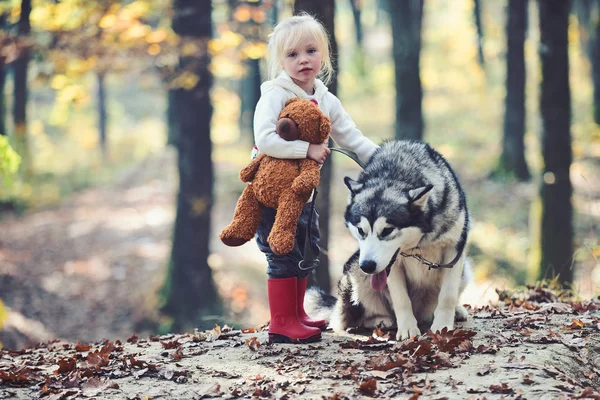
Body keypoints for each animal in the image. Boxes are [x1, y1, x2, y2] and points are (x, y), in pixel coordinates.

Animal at [308, 141, 472, 340]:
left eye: (387, 230)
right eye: (361, 230)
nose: (368, 266)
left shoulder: (454, 250)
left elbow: (448, 295)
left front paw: (443, 327)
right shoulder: (390, 266)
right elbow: (401, 299)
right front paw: (407, 328)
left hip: (465, 270)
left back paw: (457, 310)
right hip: (354, 270)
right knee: (354, 319)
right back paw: (381, 320)